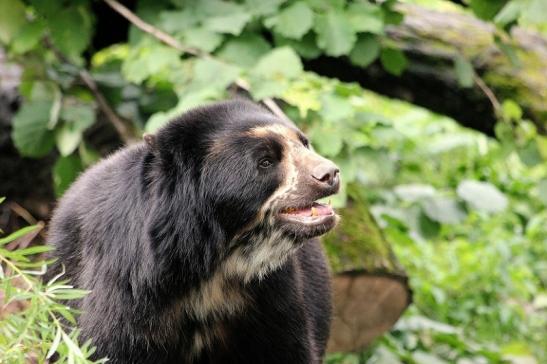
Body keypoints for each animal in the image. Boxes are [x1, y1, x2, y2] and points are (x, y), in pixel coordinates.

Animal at [47, 98, 340, 362]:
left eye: (304, 143)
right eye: (265, 161)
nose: (330, 174)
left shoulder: (271, 295)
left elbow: (285, 348)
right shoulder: (127, 288)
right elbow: (108, 345)